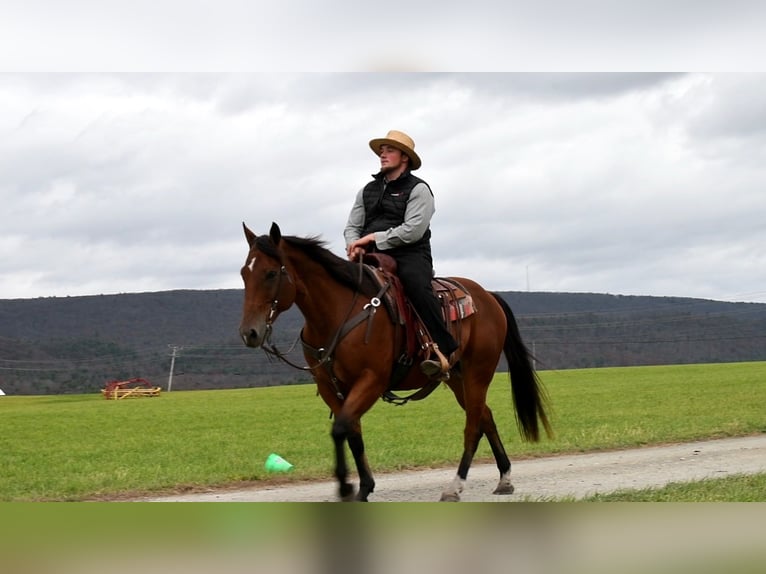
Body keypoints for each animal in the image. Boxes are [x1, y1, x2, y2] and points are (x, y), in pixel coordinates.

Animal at [238, 223, 552, 502]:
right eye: (243, 273)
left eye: (270, 273)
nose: (249, 333)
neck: (338, 313)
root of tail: (488, 297)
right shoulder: (330, 387)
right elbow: (351, 432)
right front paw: (363, 488)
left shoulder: (372, 380)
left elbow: (341, 428)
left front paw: (346, 488)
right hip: (457, 378)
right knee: (485, 417)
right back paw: (505, 479)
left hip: (478, 373)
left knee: (473, 426)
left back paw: (455, 487)